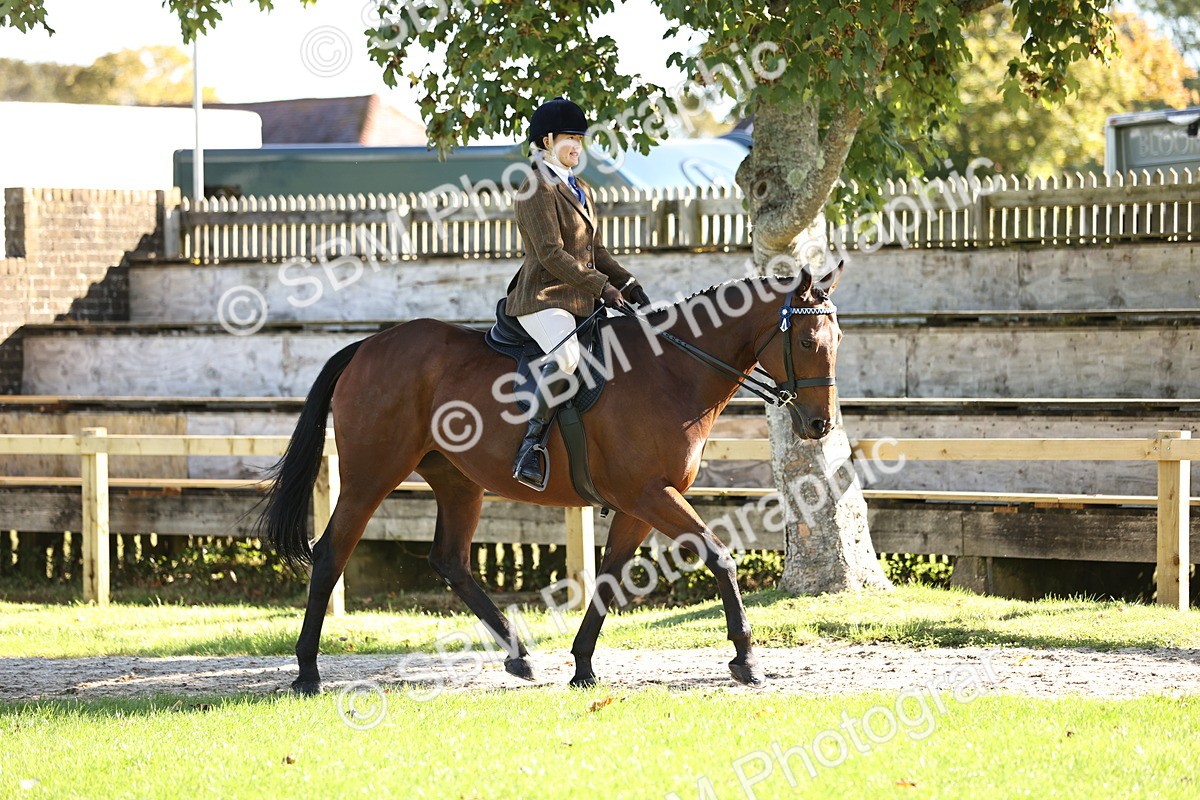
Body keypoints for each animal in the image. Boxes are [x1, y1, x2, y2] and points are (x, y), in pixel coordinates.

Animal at [257, 267, 843, 695]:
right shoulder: (650, 495)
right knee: (331, 552)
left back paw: (520, 658)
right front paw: (746, 659)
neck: (670, 370)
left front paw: (582, 667)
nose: (820, 425)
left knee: (450, 559)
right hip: (370, 475)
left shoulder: (638, 504)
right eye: (808, 341)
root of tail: (367, 345)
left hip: (457, 481)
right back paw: (307, 673)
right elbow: (720, 556)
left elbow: (608, 578)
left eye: (836, 337)